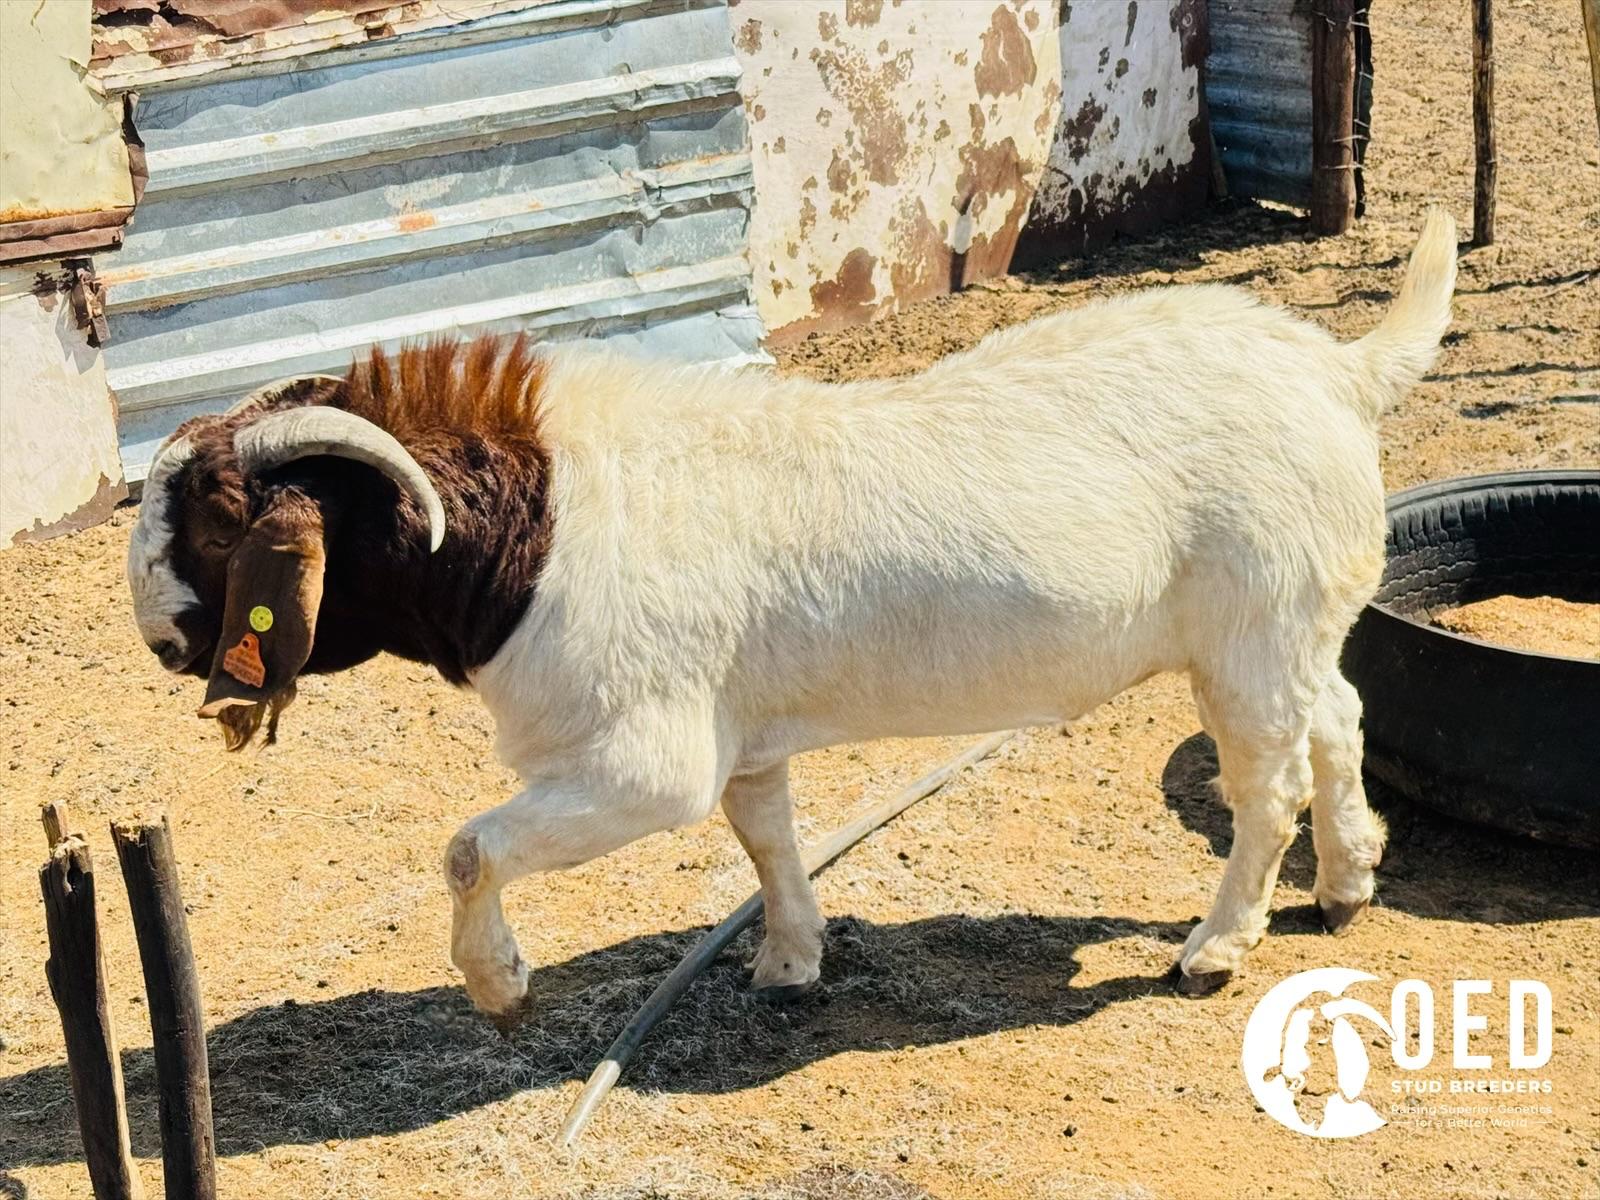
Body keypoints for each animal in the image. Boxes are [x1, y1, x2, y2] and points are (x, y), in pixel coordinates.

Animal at [128, 211, 1458, 1018]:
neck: (538, 530)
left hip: (1249, 626)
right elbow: (764, 836)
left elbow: (470, 847)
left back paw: (1216, 948)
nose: (161, 641)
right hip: (1291, 619)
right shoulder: (742, 733)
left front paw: (499, 987)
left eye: (219, 520)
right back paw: (1347, 884)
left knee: (1265, 787)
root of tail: (1337, 372)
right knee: (1337, 717)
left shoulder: (639, 761)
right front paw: (787, 961)